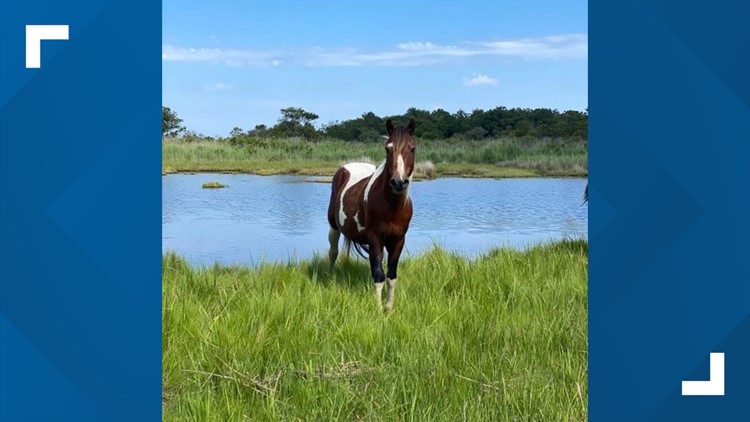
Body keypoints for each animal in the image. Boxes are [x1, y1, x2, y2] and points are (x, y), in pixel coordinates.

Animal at [327, 119, 416, 311]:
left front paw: (389, 308)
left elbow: (391, 276)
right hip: (333, 226)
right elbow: (378, 275)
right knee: (333, 252)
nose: (399, 182)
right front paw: (378, 309)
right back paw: (329, 278)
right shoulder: (375, 238)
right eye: (388, 148)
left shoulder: (398, 240)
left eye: (412, 148)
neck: (391, 206)